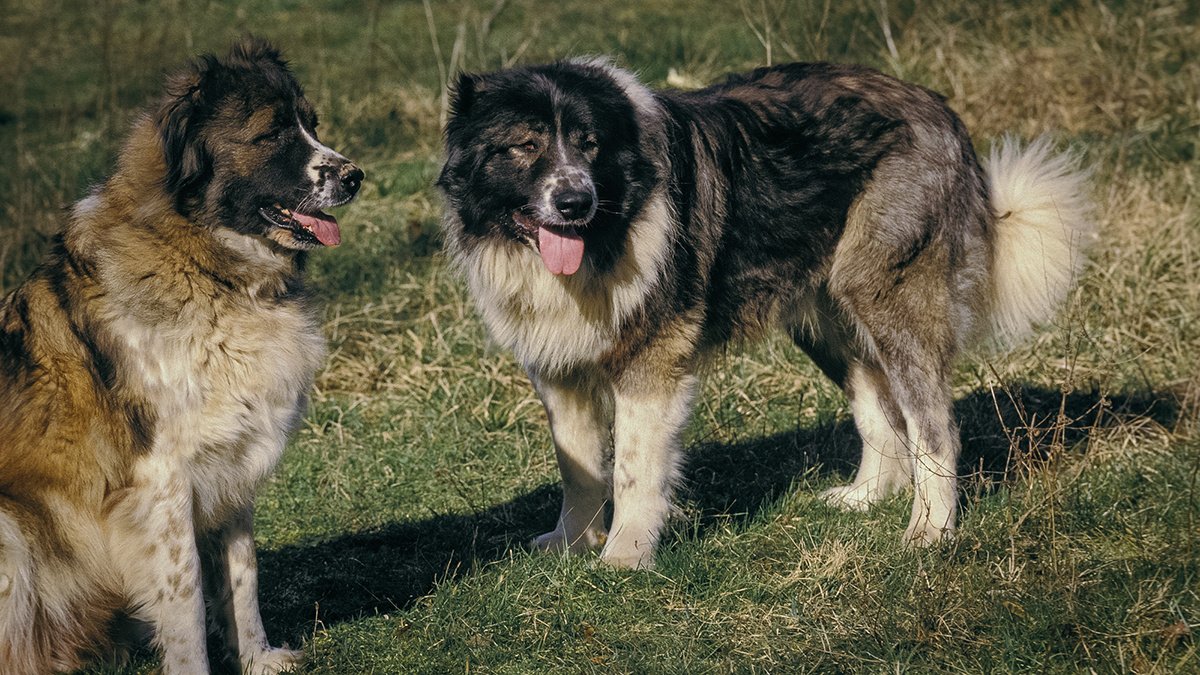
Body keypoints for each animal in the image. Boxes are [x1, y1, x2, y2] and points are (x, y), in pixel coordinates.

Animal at [441, 57, 1099, 566]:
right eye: (525, 146)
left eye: (590, 145)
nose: (575, 201)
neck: (613, 225)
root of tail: (939, 110)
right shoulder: (560, 369)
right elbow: (578, 468)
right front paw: (573, 545)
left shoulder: (651, 366)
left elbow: (631, 467)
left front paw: (625, 556)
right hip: (828, 319)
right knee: (879, 412)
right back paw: (865, 498)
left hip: (887, 299)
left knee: (934, 425)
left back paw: (929, 532)